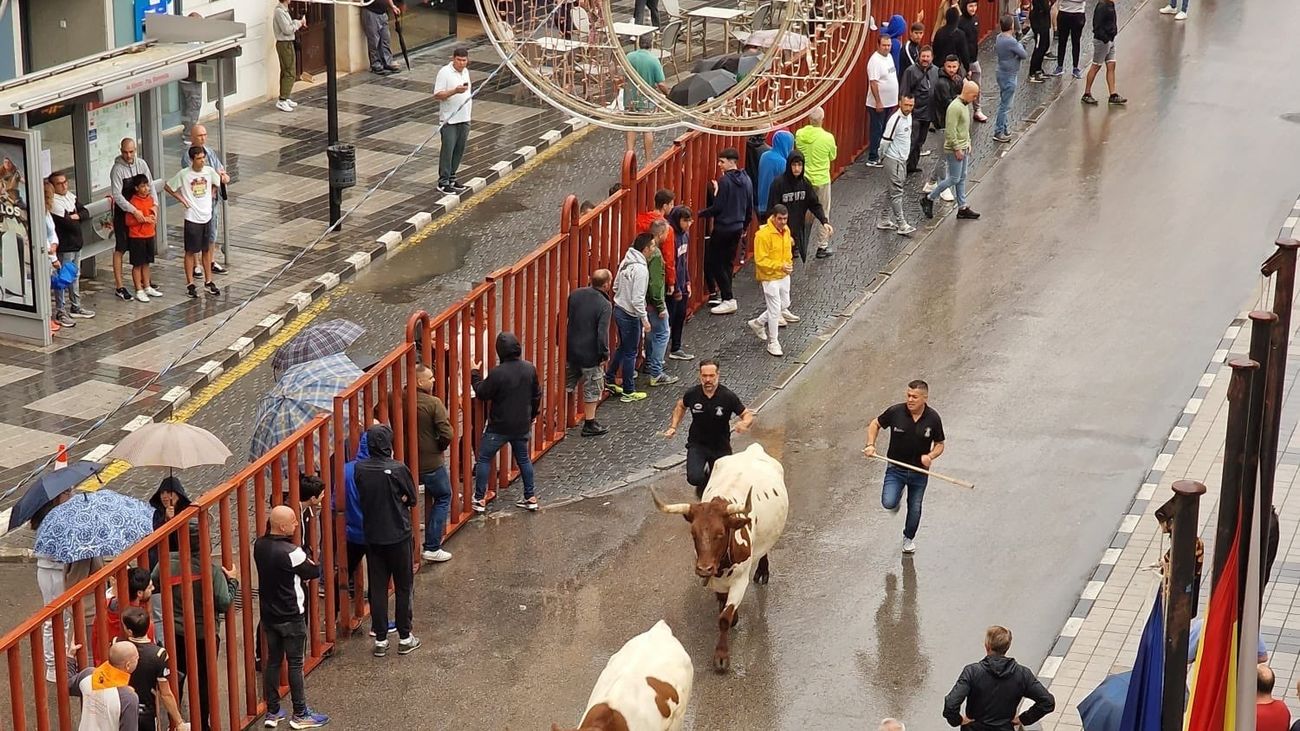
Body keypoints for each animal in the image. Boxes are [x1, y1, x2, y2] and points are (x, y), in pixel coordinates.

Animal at [655, 442, 785, 671]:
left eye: (720, 533)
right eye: (693, 533)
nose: (704, 568)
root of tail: (753, 448)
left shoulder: (740, 580)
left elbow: (724, 618)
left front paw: (721, 656)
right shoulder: (716, 579)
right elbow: (723, 604)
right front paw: (732, 616)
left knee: (764, 550)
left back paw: (762, 571)